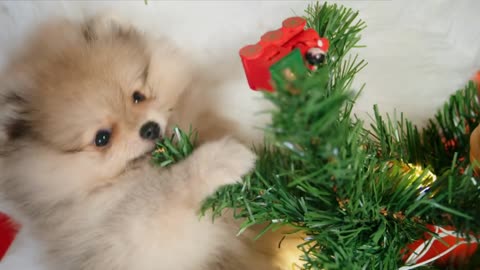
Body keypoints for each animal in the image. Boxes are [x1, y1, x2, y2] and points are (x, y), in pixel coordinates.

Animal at [0, 14, 300, 270]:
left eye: (137, 96)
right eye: (102, 138)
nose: (150, 129)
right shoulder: (128, 235)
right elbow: (166, 188)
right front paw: (222, 158)